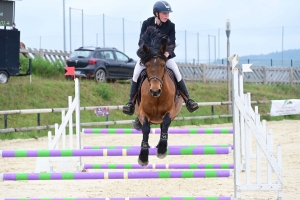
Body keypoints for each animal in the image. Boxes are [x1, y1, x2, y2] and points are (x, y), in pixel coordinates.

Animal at [134, 27, 183, 167]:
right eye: (147, 65)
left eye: (163, 65)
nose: (155, 91)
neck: (157, 98)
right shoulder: (142, 113)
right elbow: (146, 129)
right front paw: (143, 156)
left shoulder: (171, 111)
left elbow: (165, 123)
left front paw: (161, 149)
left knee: (163, 126)